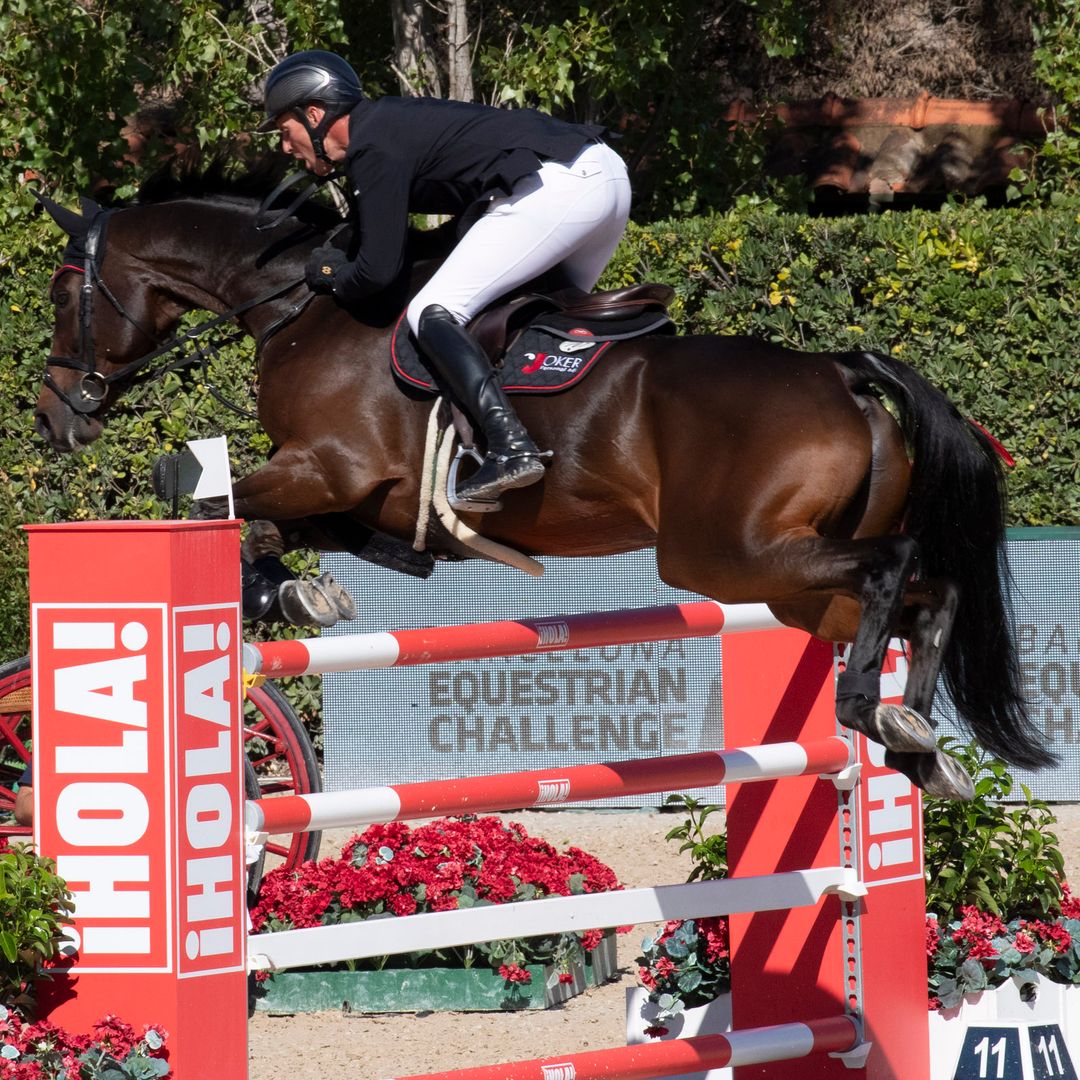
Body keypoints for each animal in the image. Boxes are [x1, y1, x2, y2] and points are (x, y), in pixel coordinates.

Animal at [31, 159, 1054, 803]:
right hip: (787, 583)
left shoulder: (327, 466)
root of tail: (843, 372)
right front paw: (303, 593)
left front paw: (277, 591)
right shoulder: (361, 496)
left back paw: (873, 712)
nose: (53, 420)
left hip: (728, 556)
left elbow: (210, 495)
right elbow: (299, 529)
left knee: (894, 567)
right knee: (930, 587)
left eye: (58, 290)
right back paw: (915, 742)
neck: (298, 304)